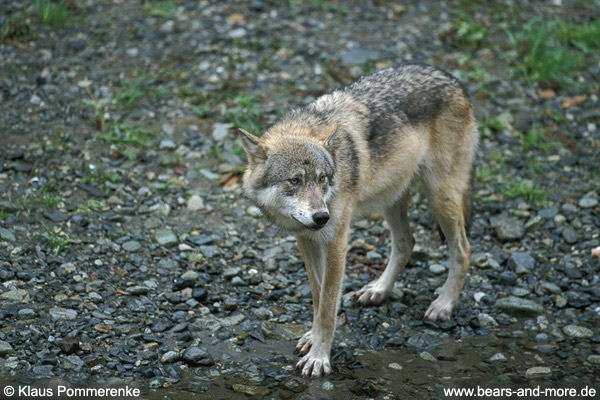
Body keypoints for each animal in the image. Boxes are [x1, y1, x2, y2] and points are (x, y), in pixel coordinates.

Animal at [237, 63, 476, 378]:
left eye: (322, 179)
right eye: (294, 180)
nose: (322, 216)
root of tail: (454, 80)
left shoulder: (336, 241)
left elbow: (328, 306)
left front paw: (319, 357)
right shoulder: (307, 240)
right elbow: (318, 296)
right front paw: (312, 338)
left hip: (439, 196)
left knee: (462, 249)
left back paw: (444, 304)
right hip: (393, 199)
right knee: (406, 243)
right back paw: (378, 291)